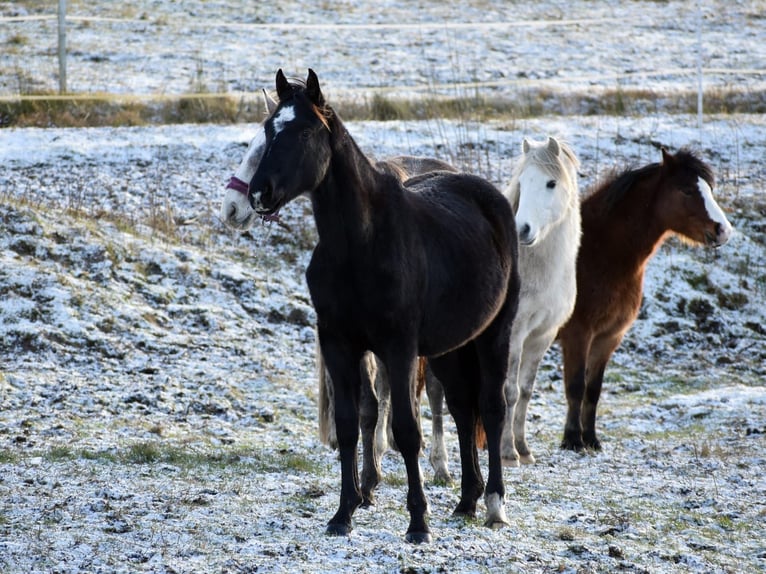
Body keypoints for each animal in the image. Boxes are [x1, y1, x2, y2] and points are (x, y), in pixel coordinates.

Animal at [249, 70, 520, 544]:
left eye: (304, 132)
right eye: (269, 129)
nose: (259, 193)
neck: (361, 244)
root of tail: (491, 199)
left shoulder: (399, 347)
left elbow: (406, 432)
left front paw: (418, 523)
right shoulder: (339, 343)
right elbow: (348, 425)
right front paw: (343, 514)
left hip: (493, 334)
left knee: (491, 407)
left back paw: (493, 505)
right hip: (450, 347)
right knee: (463, 410)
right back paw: (466, 501)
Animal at [560, 146, 736, 452]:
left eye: (709, 188)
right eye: (686, 189)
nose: (723, 230)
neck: (595, 253)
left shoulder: (608, 337)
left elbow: (593, 389)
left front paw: (591, 439)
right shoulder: (577, 335)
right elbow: (575, 387)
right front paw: (572, 440)